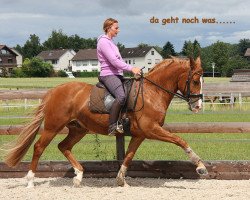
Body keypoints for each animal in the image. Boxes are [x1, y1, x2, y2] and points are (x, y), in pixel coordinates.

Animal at [3, 55, 207, 188]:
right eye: (196, 81)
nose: (197, 106)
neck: (152, 93)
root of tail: (54, 91)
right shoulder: (151, 129)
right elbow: (180, 140)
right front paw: (200, 166)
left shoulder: (140, 134)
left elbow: (129, 155)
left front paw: (120, 179)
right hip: (53, 127)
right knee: (39, 147)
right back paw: (30, 180)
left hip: (78, 129)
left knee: (64, 146)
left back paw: (79, 176)